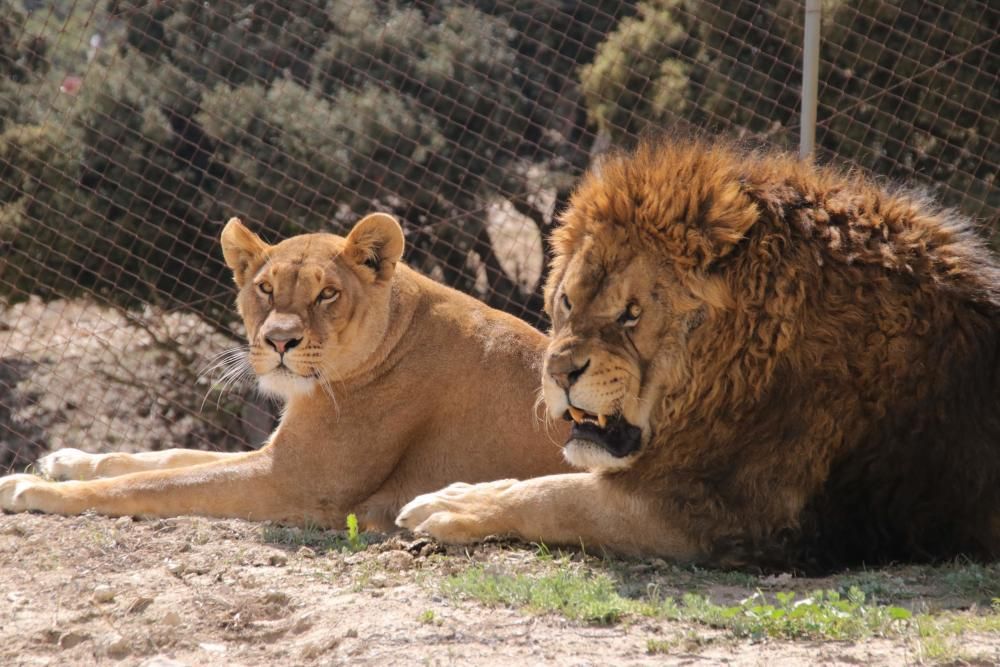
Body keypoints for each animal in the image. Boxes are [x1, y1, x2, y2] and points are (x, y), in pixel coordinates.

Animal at [0, 214, 572, 528]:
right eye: (265, 288)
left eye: (327, 294)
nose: (278, 340)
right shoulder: (279, 453)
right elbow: (166, 458)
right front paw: (66, 460)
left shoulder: (293, 481)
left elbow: (154, 483)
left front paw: (33, 490)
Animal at [398, 138, 1000, 572]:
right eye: (567, 301)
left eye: (631, 314)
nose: (559, 372)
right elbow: (545, 480)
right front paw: (460, 490)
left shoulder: (724, 517)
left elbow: (559, 495)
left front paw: (450, 507)